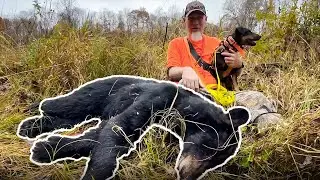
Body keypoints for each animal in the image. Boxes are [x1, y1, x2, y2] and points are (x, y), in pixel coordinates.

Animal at [16, 75, 251, 179]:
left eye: (219, 161)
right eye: (211, 148)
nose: (187, 176)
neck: (182, 107)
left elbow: (99, 135)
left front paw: (44, 148)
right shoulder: (156, 99)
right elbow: (121, 128)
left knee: (68, 118)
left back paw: (30, 128)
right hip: (98, 92)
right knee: (64, 104)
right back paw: (32, 110)